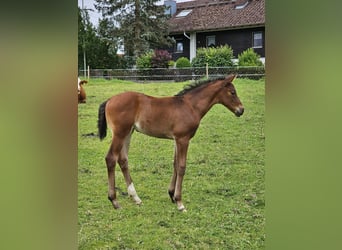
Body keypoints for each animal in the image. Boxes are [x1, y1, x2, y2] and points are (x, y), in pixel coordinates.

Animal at [97, 73, 244, 211]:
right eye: (232, 92)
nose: (241, 110)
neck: (190, 106)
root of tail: (109, 100)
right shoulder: (183, 139)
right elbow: (182, 167)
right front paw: (180, 202)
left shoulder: (176, 139)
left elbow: (175, 164)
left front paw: (171, 195)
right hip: (120, 133)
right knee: (111, 158)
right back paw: (115, 201)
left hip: (128, 133)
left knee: (123, 160)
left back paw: (136, 198)